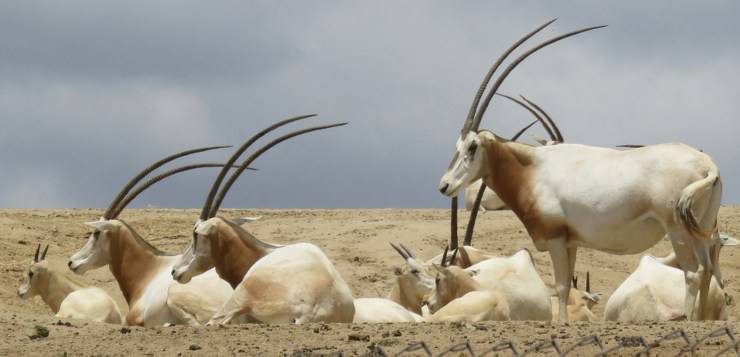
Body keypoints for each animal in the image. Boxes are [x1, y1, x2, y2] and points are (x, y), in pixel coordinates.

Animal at [171, 114, 356, 322]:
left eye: (196, 234)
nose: (175, 271)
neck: (259, 252)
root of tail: (311, 311)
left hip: (241, 294)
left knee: (215, 320)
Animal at [440, 18, 724, 320]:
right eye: (457, 144)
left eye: (472, 146)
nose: (444, 185)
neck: (532, 170)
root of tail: (709, 166)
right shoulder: (571, 242)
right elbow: (567, 287)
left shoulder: (555, 240)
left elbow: (561, 286)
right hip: (701, 228)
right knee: (707, 270)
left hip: (677, 230)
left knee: (693, 272)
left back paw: (690, 320)